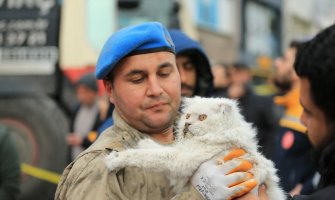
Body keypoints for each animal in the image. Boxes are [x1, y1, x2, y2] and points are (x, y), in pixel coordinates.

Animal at [105, 96, 286, 199]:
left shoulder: (180, 160)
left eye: (203, 117)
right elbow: (156, 148)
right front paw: (144, 142)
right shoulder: (181, 153)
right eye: (187, 116)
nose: (187, 124)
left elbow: (144, 156)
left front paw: (115, 159)